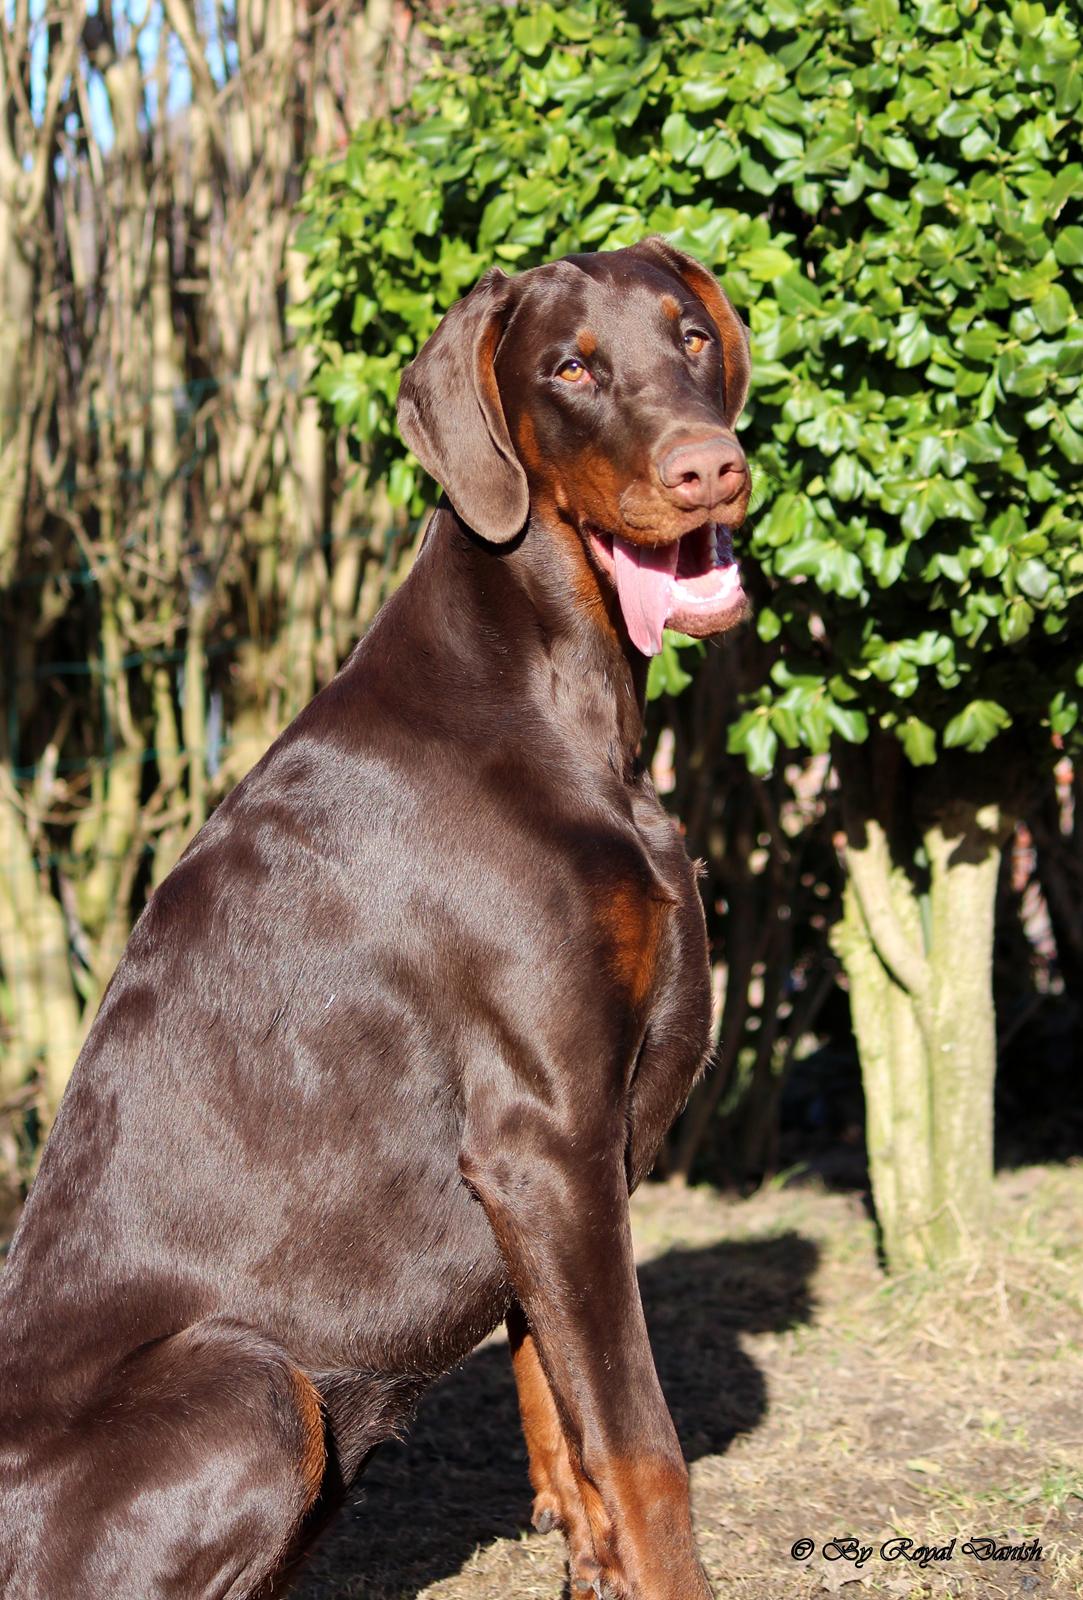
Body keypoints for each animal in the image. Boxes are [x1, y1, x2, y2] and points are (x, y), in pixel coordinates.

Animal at [0, 236, 748, 1600]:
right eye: (571, 367)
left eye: (690, 337)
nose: (707, 464)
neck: (556, 690)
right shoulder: (543, 1129)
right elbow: (641, 1441)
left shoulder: (550, 1168)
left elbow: (559, 1392)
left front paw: (593, 1565)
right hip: (252, 1383)